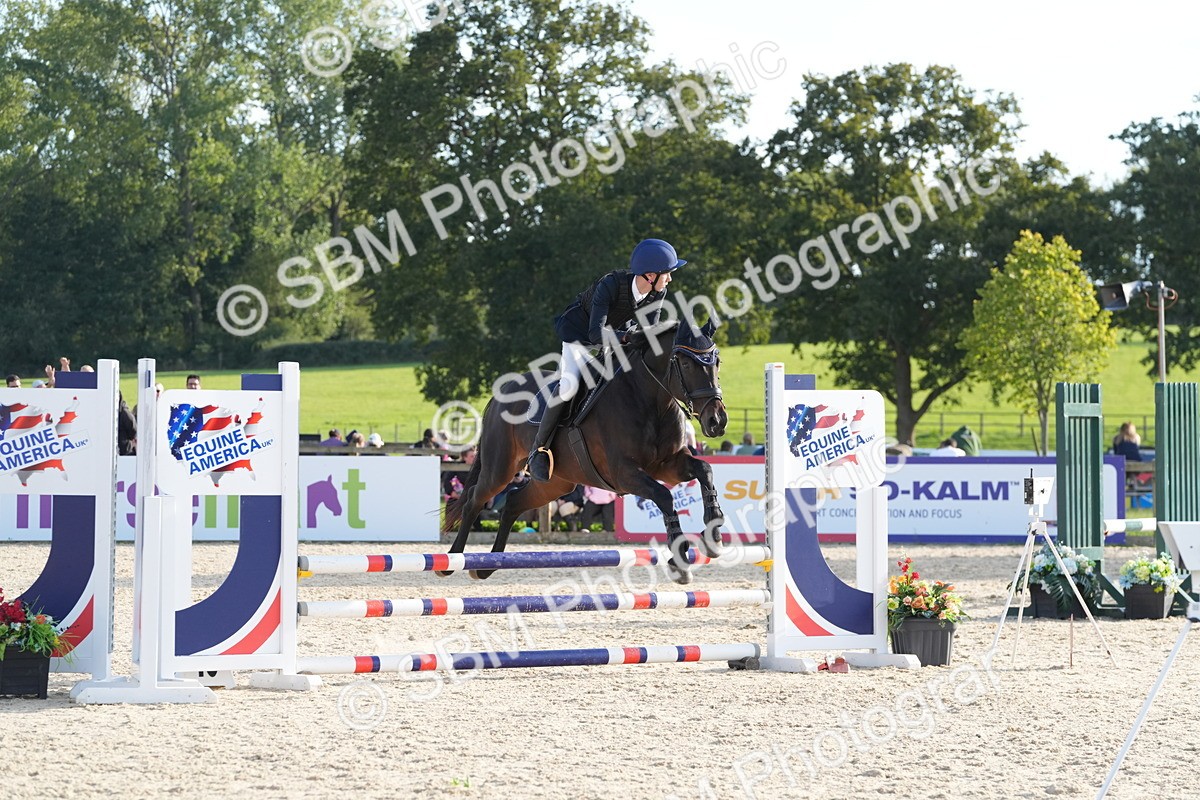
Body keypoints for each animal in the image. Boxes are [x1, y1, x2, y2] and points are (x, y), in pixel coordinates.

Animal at [442, 319, 729, 584]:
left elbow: (704, 469)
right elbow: (664, 496)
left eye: (717, 363)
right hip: (500, 467)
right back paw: (451, 560)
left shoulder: (668, 464)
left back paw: (488, 566)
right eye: (686, 364)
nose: (717, 421)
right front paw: (679, 561)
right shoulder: (624, 473)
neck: (650, 400)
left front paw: (714, 535)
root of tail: (501, 392)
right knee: (474, 500)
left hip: (556, 484)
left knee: (513, 502)